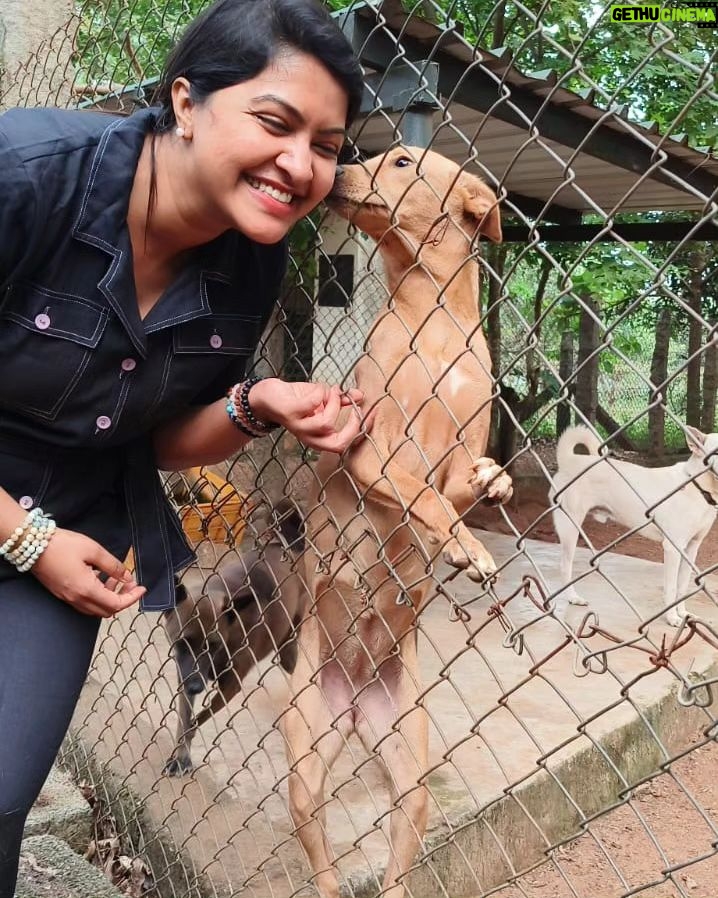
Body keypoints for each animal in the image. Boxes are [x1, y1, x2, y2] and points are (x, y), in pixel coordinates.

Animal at [162, 500, 306, 772]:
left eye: (213, 645)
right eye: (182, 643)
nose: (196, 687)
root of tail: (283, 544)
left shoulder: (231, 685)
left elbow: (196, 721)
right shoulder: (184, 674)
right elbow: (186, 719)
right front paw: (181, 754)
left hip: (289, 648)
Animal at [284, 149, 516, 896]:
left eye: (403, 160)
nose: (333, 170)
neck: (433, 321)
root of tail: (357, 702)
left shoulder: (458, 454)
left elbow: (462, 489)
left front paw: (494, 491)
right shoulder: (371, 452)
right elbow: (424, 497)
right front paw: (469, 551)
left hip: (411, 778)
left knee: (397, 859)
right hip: (305, 767)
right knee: (323, 862)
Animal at [556, 426, 716, 624]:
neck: (697, 486)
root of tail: (568, 460)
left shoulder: (692, 548)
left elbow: (682, 586)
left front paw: (683, 613)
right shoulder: (673, 548)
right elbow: (671, 588)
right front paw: (672, 617)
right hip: (569, 527)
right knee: (565, 566)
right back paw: (572, 597)